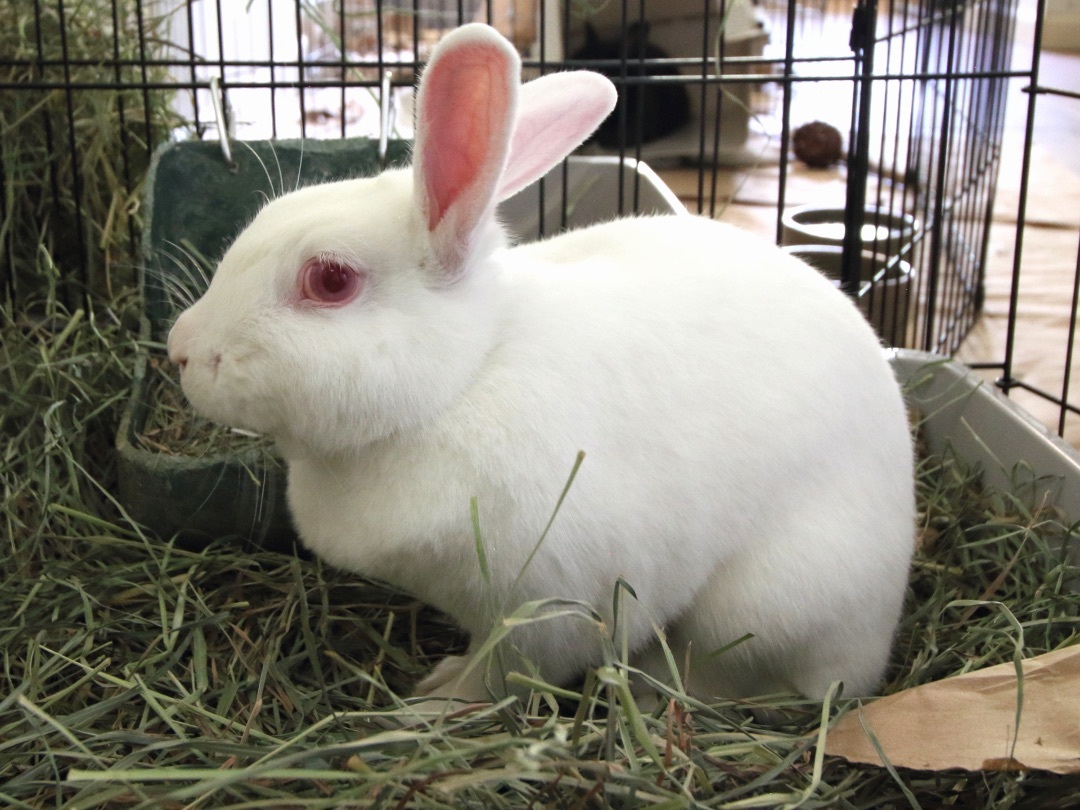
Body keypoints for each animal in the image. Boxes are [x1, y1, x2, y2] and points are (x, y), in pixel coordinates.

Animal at [167, 23, 916, 707]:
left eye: (329, 280)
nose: (180, 349)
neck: (464, 379)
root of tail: (881, 638)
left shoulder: (550, 609)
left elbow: (505, 671)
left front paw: (436, 700)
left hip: (765, 608)